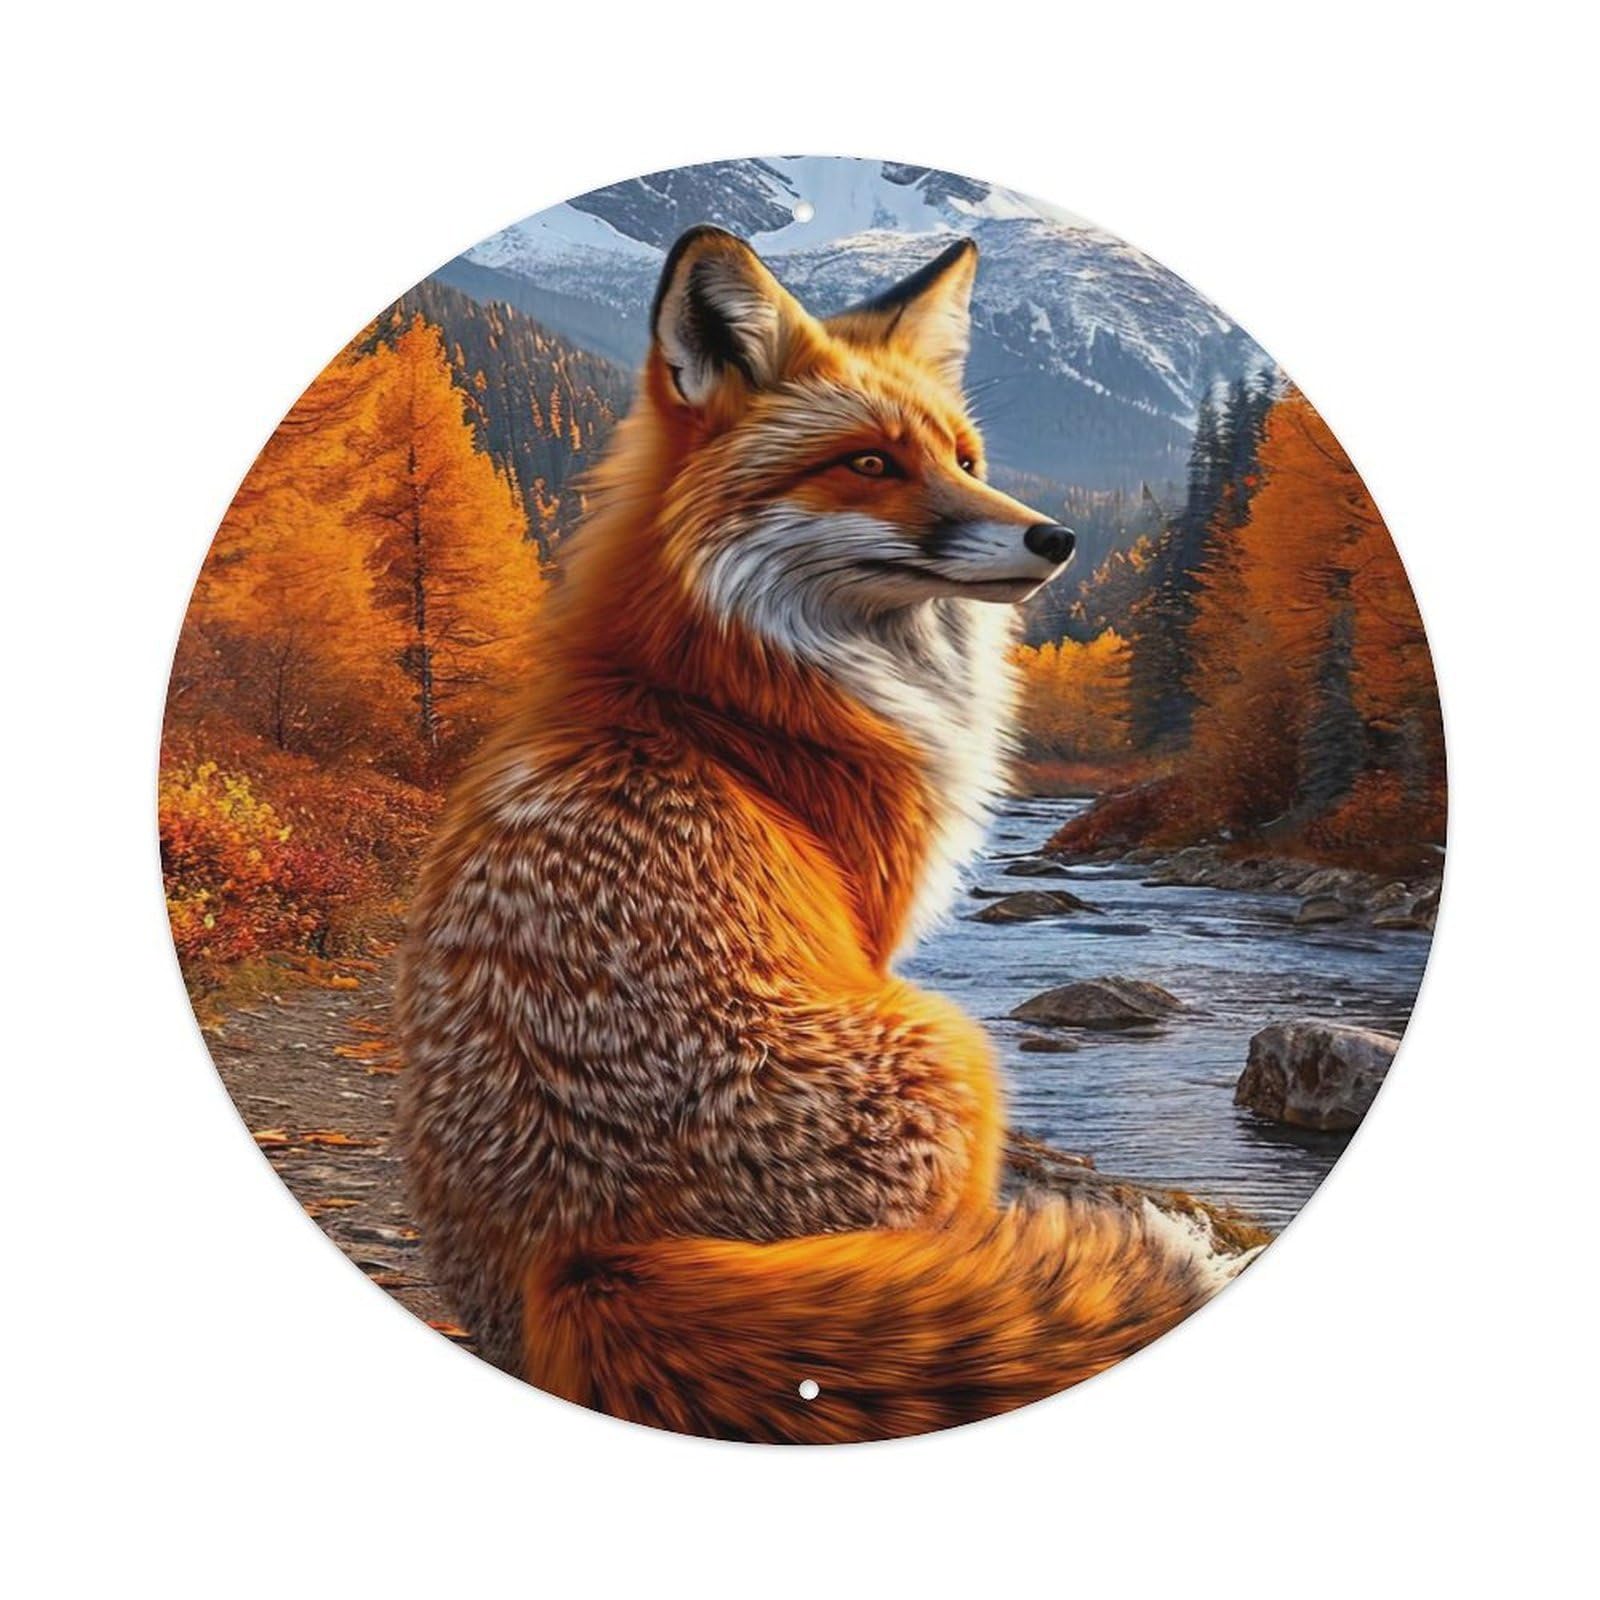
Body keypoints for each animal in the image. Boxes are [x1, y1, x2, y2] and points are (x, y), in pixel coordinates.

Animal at [396, 225, 1242, 1442]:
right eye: (872, 465)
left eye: (964, 455)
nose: (1057, 536)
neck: (717, 690)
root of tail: (591, 1251)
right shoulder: (878, 928)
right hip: (954, 1051)